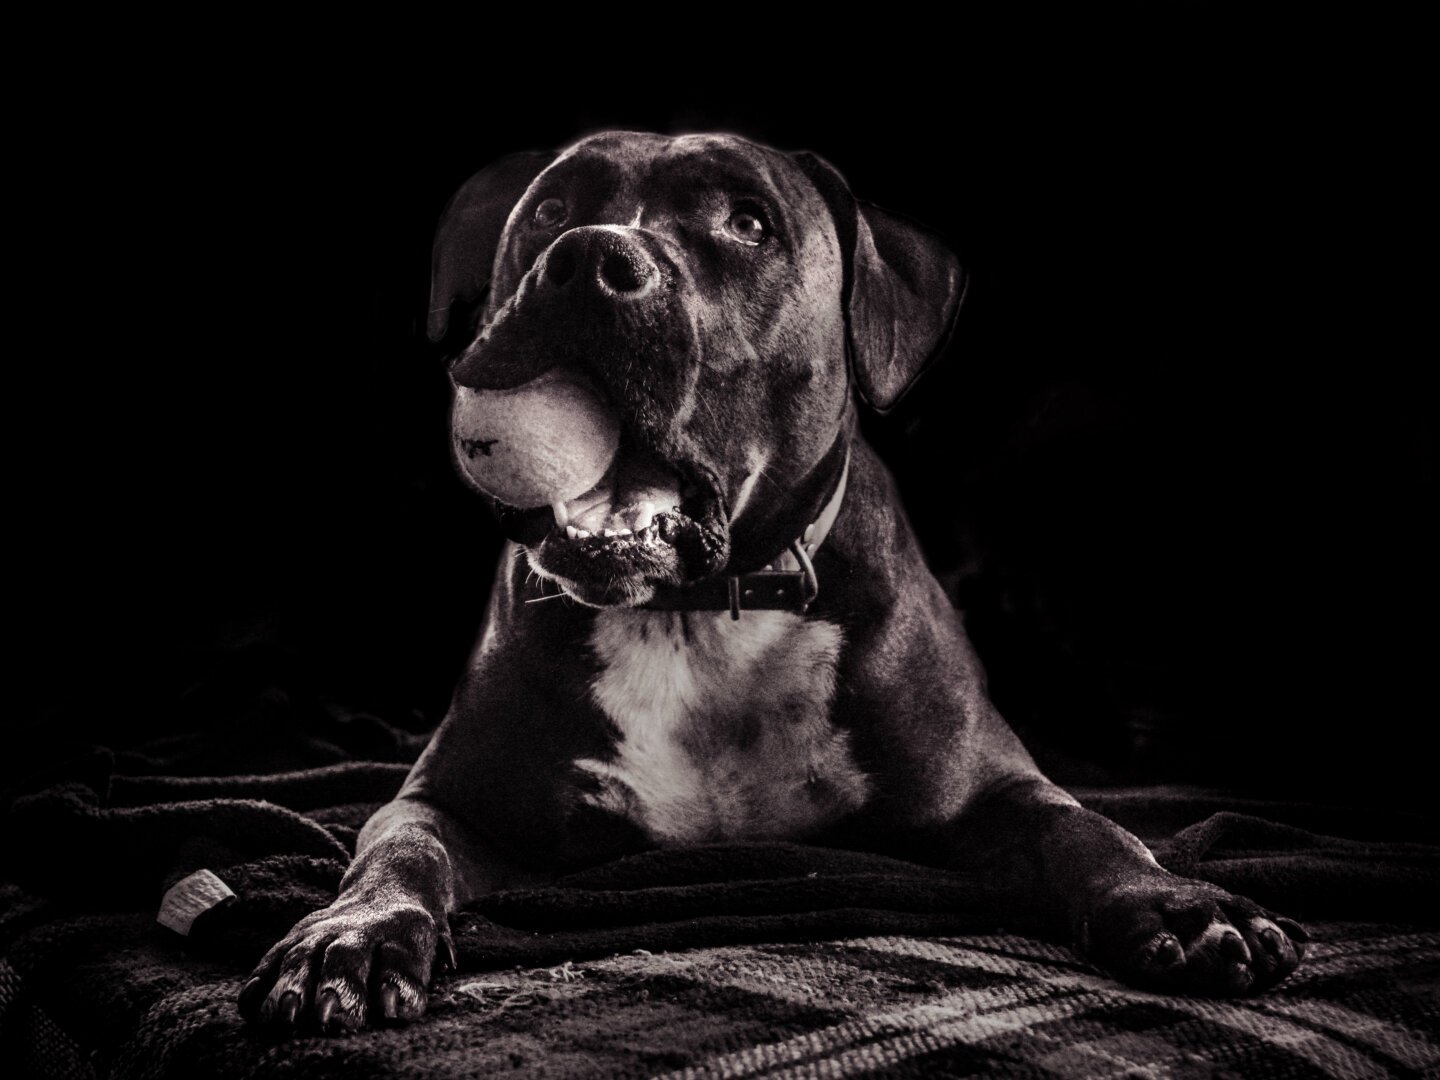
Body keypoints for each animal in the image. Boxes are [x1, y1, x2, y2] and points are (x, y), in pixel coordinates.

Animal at [236, 131, 1307, 1036]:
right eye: (548, 211)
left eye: (747, 223)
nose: (589, 257)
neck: (698, 613)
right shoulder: (450, 799)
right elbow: (398, 848)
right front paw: (351, 936)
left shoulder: (998, 789)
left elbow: (1094, 834)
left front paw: (1180, 904)